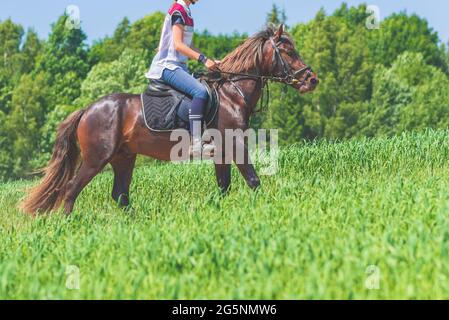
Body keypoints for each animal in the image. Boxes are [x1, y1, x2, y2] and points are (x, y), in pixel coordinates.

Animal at [19, 25, 316, 215]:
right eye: (288, 51)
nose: (312, 79)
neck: (233, 93)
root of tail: (87, 109)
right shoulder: (235, 146)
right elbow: (254, 181)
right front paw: (266, 211)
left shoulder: (221, 153)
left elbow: (224, 187)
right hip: (96, 158)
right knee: (71, 190)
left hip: (124, 158)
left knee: (120, 195)